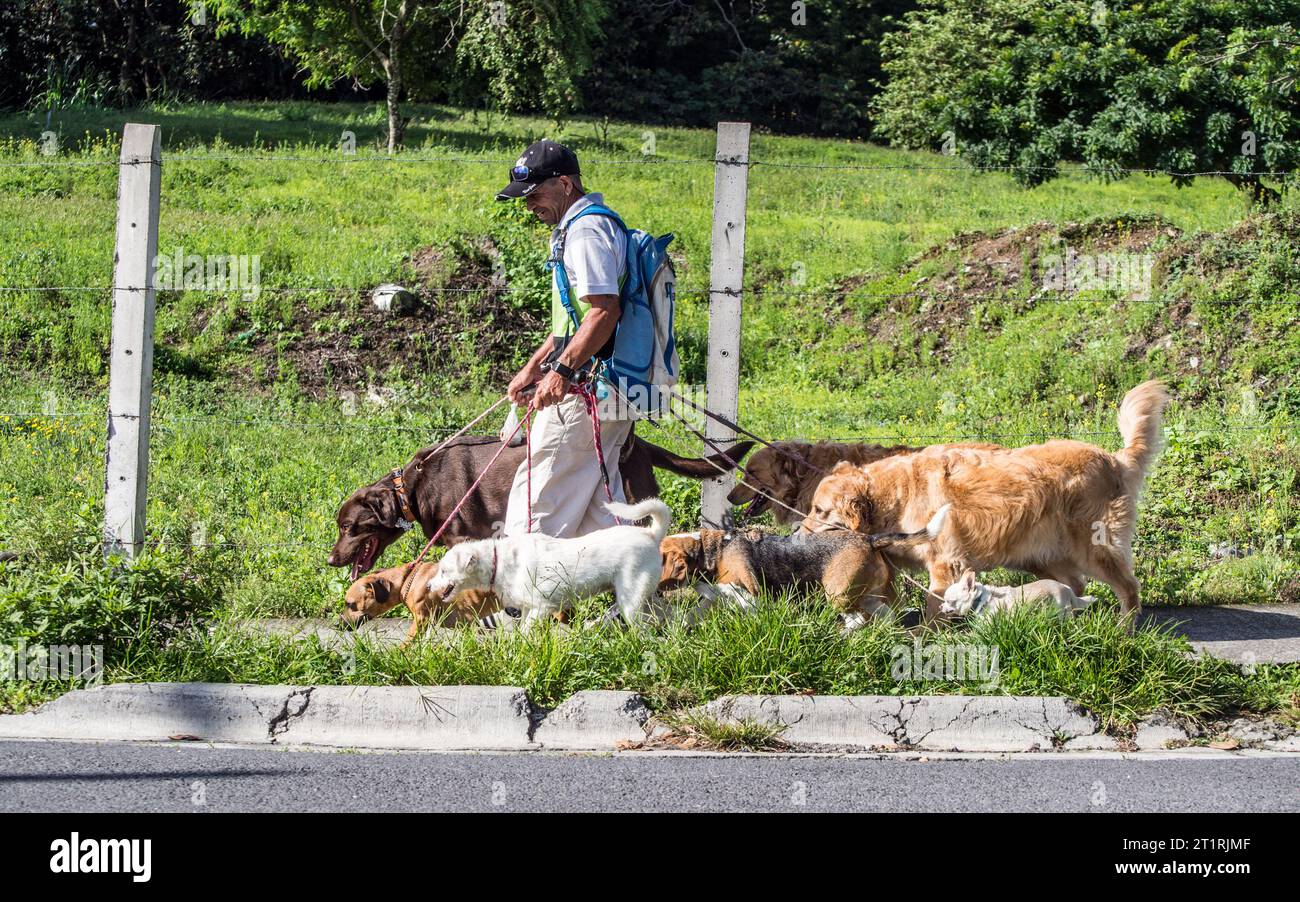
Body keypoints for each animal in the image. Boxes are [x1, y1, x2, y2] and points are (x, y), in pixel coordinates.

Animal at [428, 499, 670, 631]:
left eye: (444, 571)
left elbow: (526, 631)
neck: (499, 561)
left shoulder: (541, 607)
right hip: (633, 597)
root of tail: (651, 534)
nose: (429, 586)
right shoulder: (526, 607)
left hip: (631, 597)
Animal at [665, 509, 951, 636]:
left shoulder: (750, 596)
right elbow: (692, 614)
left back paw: (839, 636)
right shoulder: (713, 599)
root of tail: (869, 539)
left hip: (838, 593)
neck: (711, 551)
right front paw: (676, 632)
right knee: (884, 616)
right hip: (869, 595)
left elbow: (751, 611)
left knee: (857, 619)